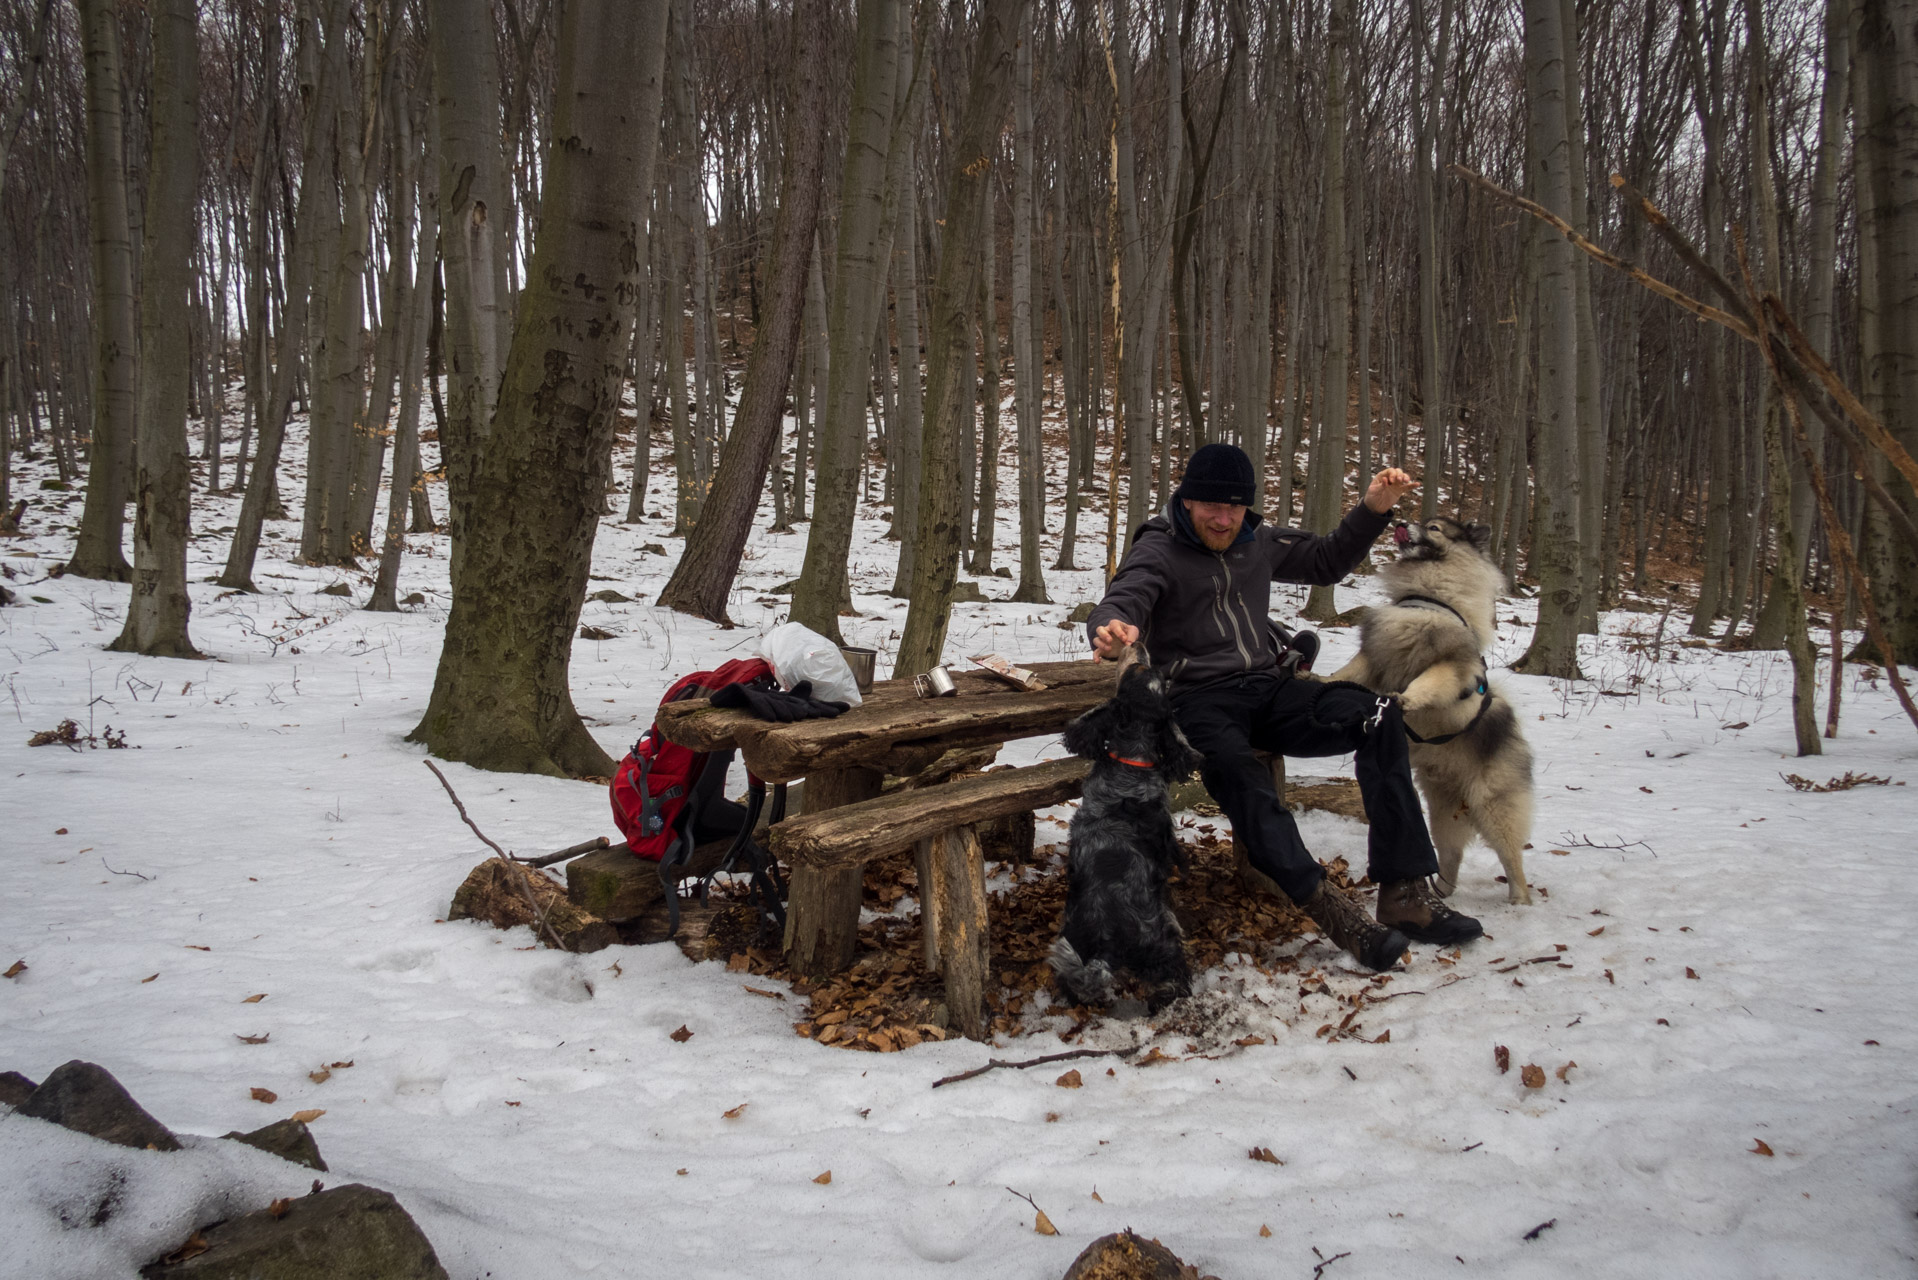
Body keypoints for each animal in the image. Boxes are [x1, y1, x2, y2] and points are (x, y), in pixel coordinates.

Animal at [1327, 514, 1534, 905]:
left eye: (1434, 528)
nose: (1400, 520)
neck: (1428, 596)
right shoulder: (1374, 655)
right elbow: (1347, 672)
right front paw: (1317, 677)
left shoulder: (1450, 664)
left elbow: (1427, 684)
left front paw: (1405, 699)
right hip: (1443, 811)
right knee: (1452, 854)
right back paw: (1442, 891)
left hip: (1494, 807)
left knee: (1512, 857)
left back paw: (1520, 902)